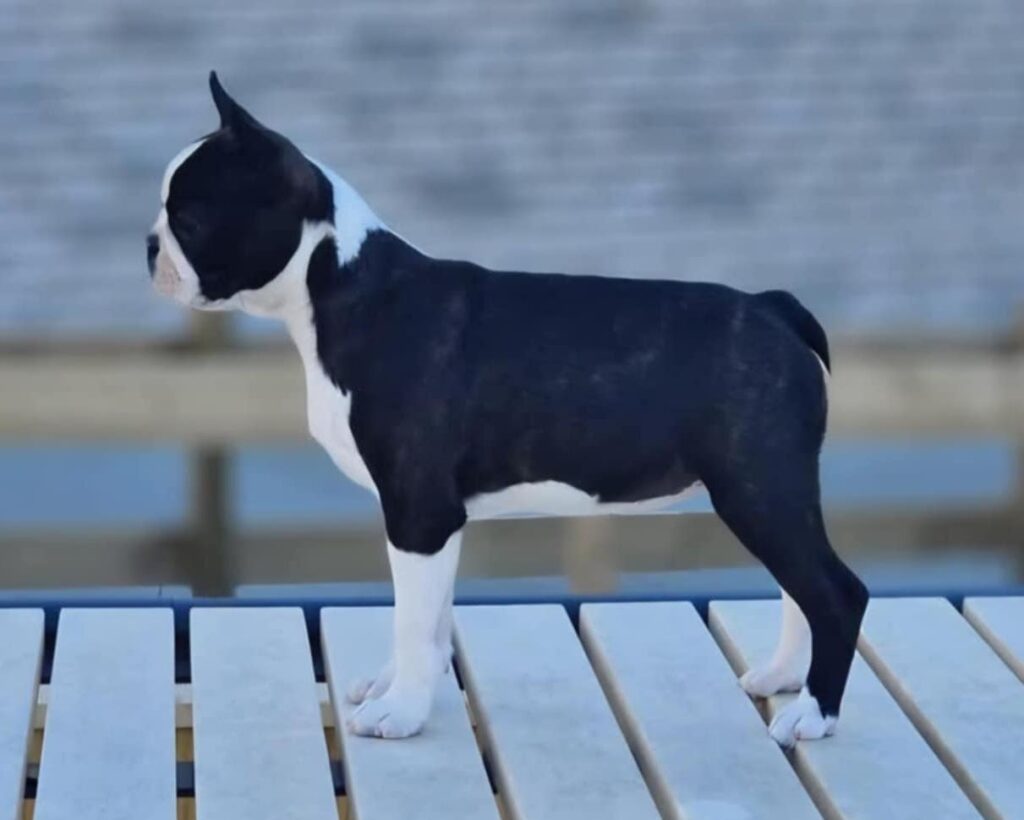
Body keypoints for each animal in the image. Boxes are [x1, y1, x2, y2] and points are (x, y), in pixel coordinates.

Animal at [149, 73, 868, 745]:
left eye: (190, 219)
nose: (150, 245)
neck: (343, 287)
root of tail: (775, 308)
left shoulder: (418, 513)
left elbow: (413, 621)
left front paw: (399, 712)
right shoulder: (436, 522)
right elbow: (429, 620)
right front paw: (397, 688)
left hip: (758, 488)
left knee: (833, 591)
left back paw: (815, 714)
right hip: (771, 495)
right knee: (798, 586)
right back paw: (783, 677)